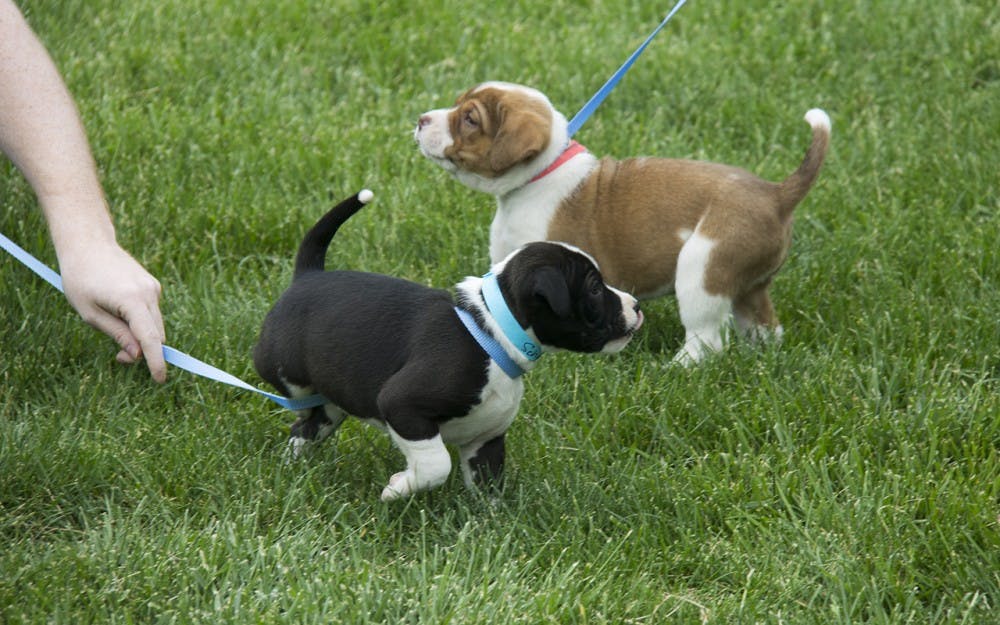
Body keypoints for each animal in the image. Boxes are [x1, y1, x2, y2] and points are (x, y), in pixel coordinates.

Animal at [256, 188, 640, 500]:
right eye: (594, 288)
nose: (635, 305)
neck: (493, 334)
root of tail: (308, 275)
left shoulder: (486, 440)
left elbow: (488, 489)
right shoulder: (402, 404)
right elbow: (436, 464)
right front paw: (399, 488)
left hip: (332, 405)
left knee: (307, 428)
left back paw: (292, 466)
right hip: (283, 364)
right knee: (297, 401)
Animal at [414, 83, 828, 366]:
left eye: (469, 119)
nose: (420, 119)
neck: (536, 177)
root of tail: (777, 195)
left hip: (702, 269)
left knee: (706, 340)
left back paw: (677, 370)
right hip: (749, 286)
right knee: (765, 326)